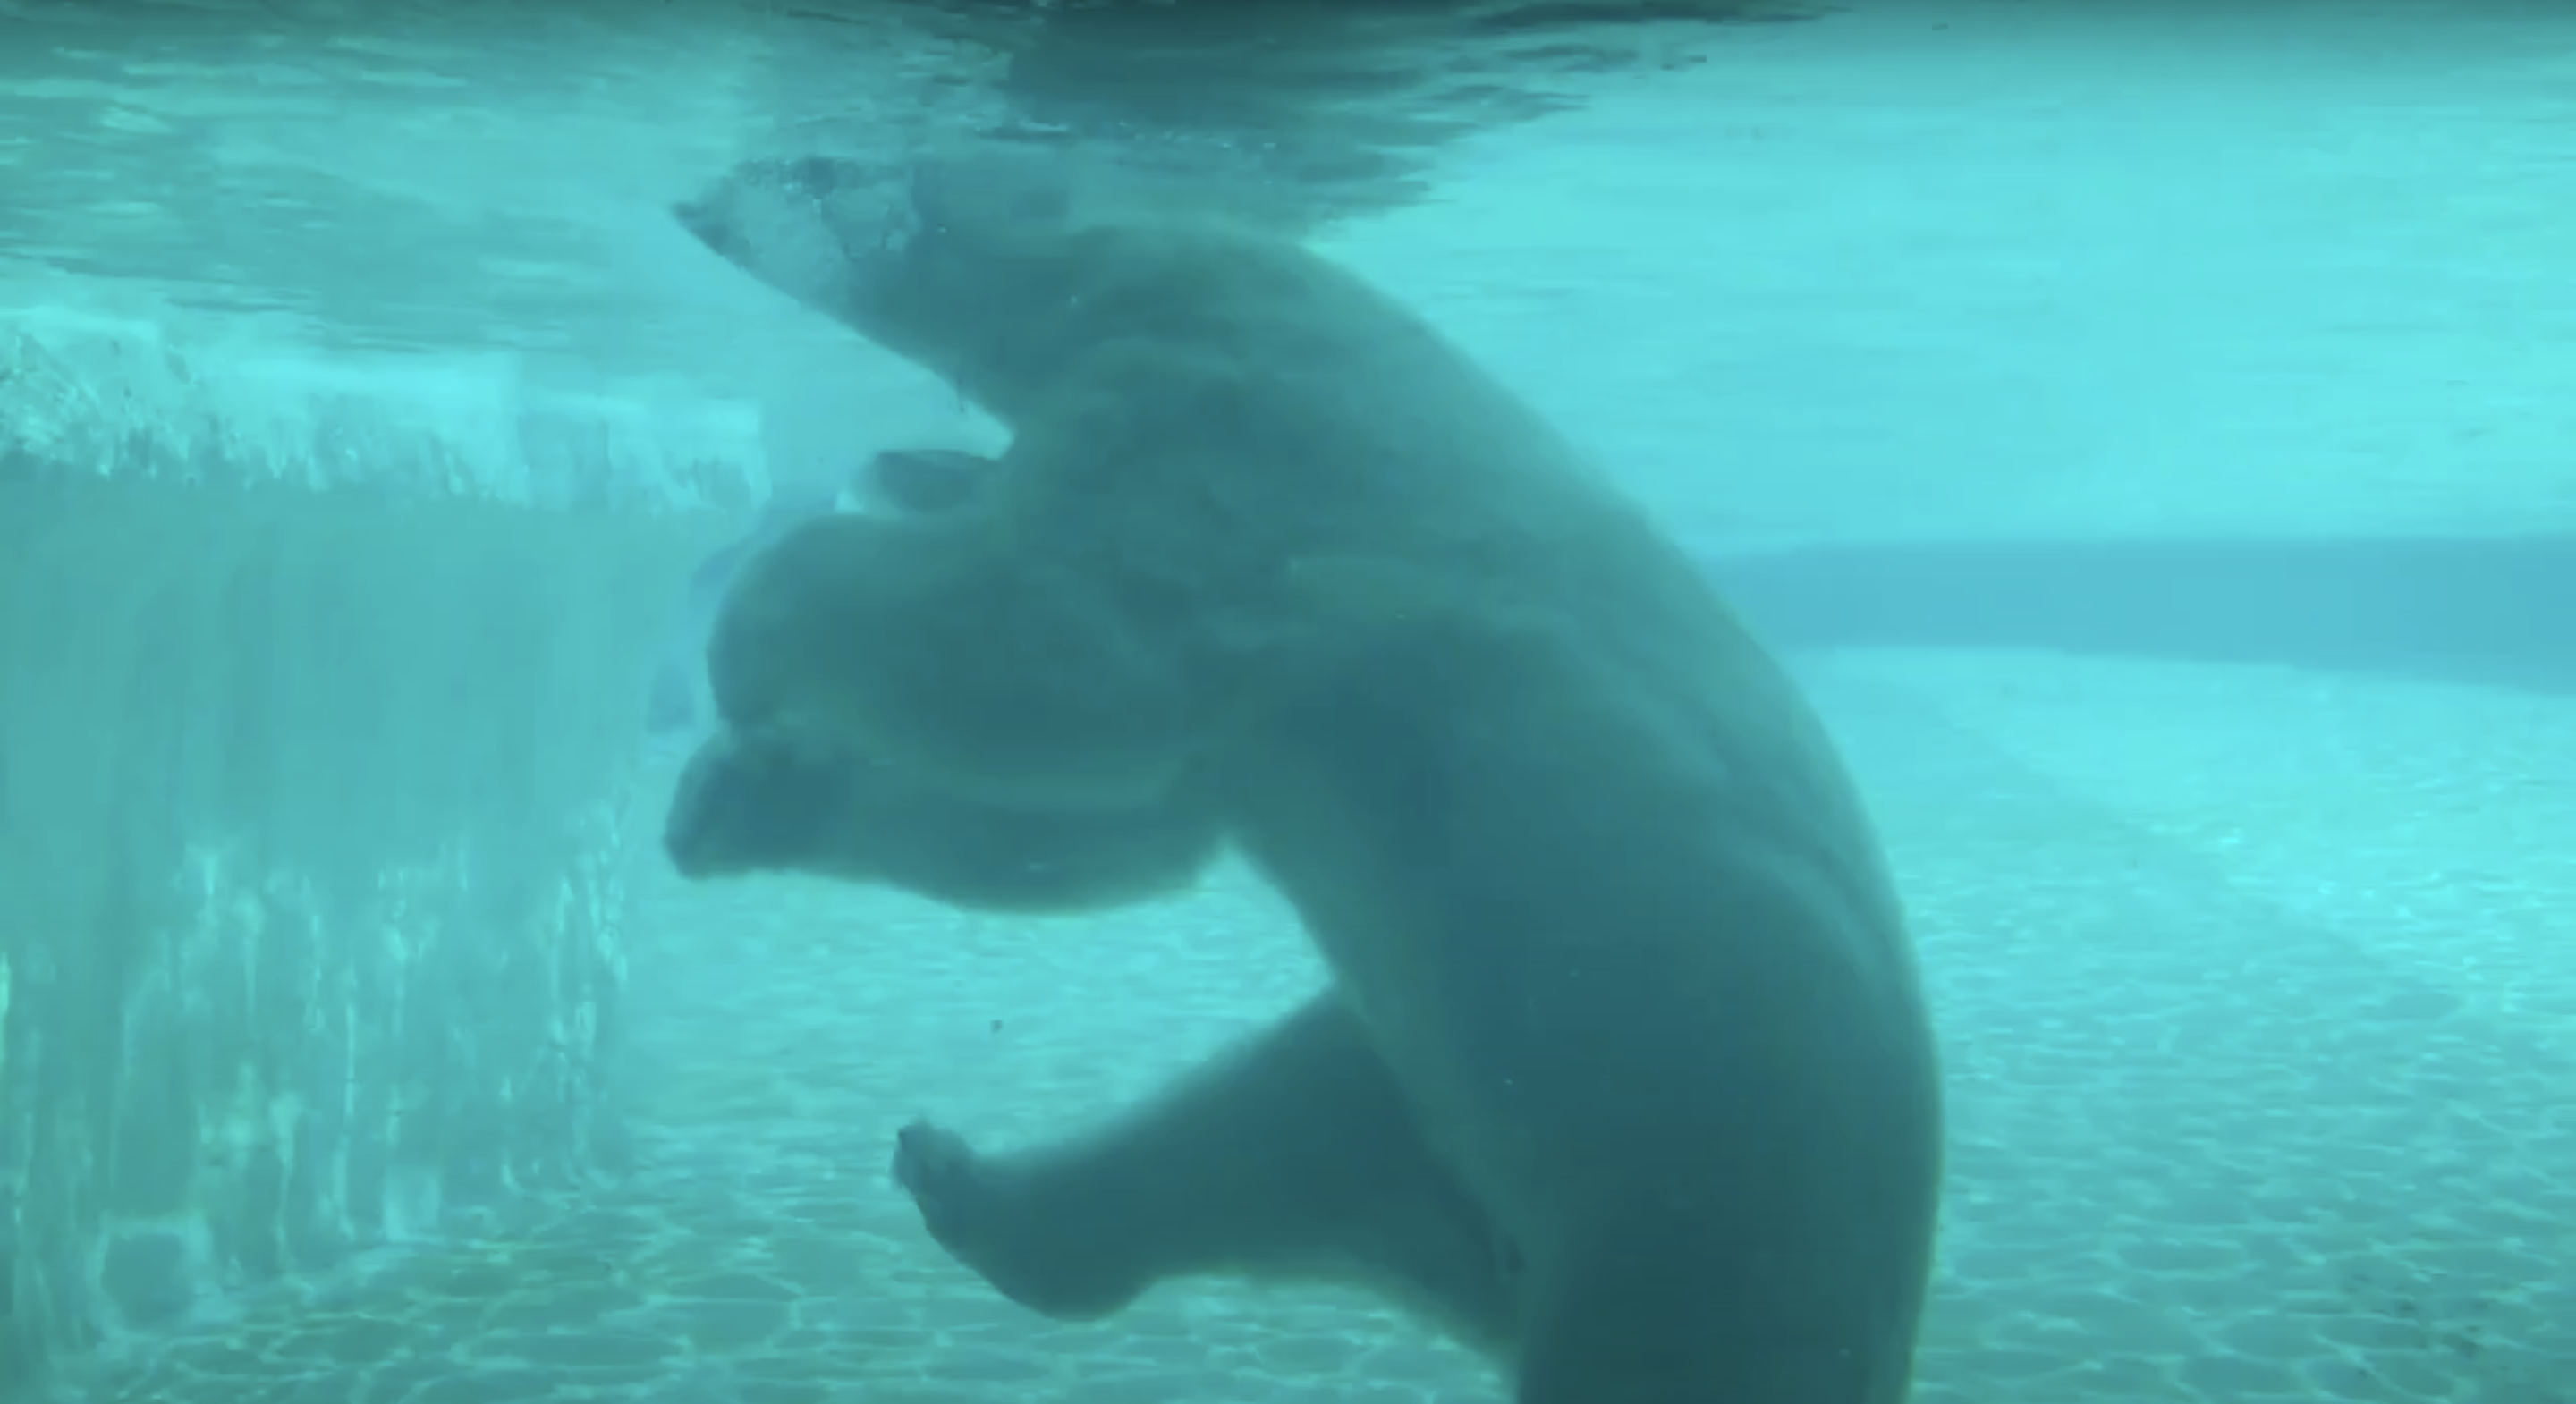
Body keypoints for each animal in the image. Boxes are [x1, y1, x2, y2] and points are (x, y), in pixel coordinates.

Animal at [663, 151, 1945, 1404]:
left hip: (1705, 1193)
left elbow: (1049, 654)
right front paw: (740, 798)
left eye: (824, 169)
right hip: (1449, 1095)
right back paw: (972, 1184)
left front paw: (743, 656)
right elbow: (1125, 825)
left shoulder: (1224, 441)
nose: (698, 201)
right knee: (1270, 1132)